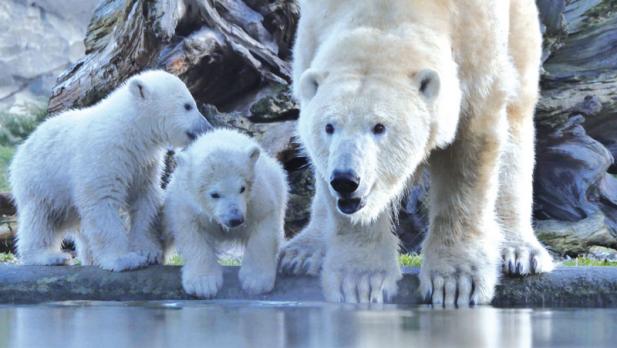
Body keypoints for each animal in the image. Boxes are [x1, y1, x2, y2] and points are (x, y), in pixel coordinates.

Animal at [280, 0, 552, 304]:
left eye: (379, 127)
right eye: (329, 127)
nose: (346, 180)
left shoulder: (477, 43)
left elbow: (469, 155)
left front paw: (456, 283)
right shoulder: (311, 37)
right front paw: (359, 281)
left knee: (518, 113)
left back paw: (521, 251)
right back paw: (303, 252)